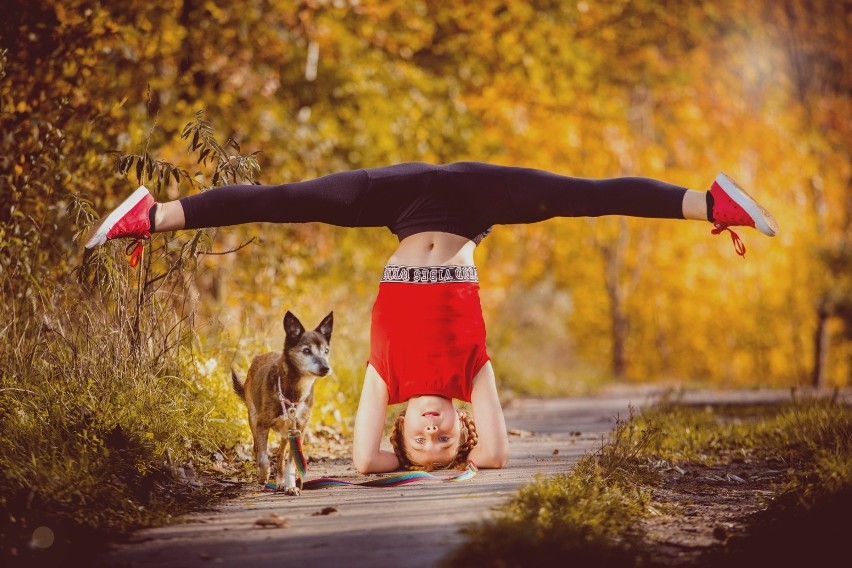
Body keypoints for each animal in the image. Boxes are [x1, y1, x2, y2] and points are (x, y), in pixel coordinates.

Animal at [233, 310, 332, 492]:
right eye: (306, 350)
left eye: (326, 350)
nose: (325, 368)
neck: (293, 395)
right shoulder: (262, 425)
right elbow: (264, 458)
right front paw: (263, 475)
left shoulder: (298, 431)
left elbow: (290, 462)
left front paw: (290, 486)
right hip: (253, 418)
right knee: (257, 448)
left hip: (287, 433)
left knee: (280, 456)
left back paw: (280, 481)